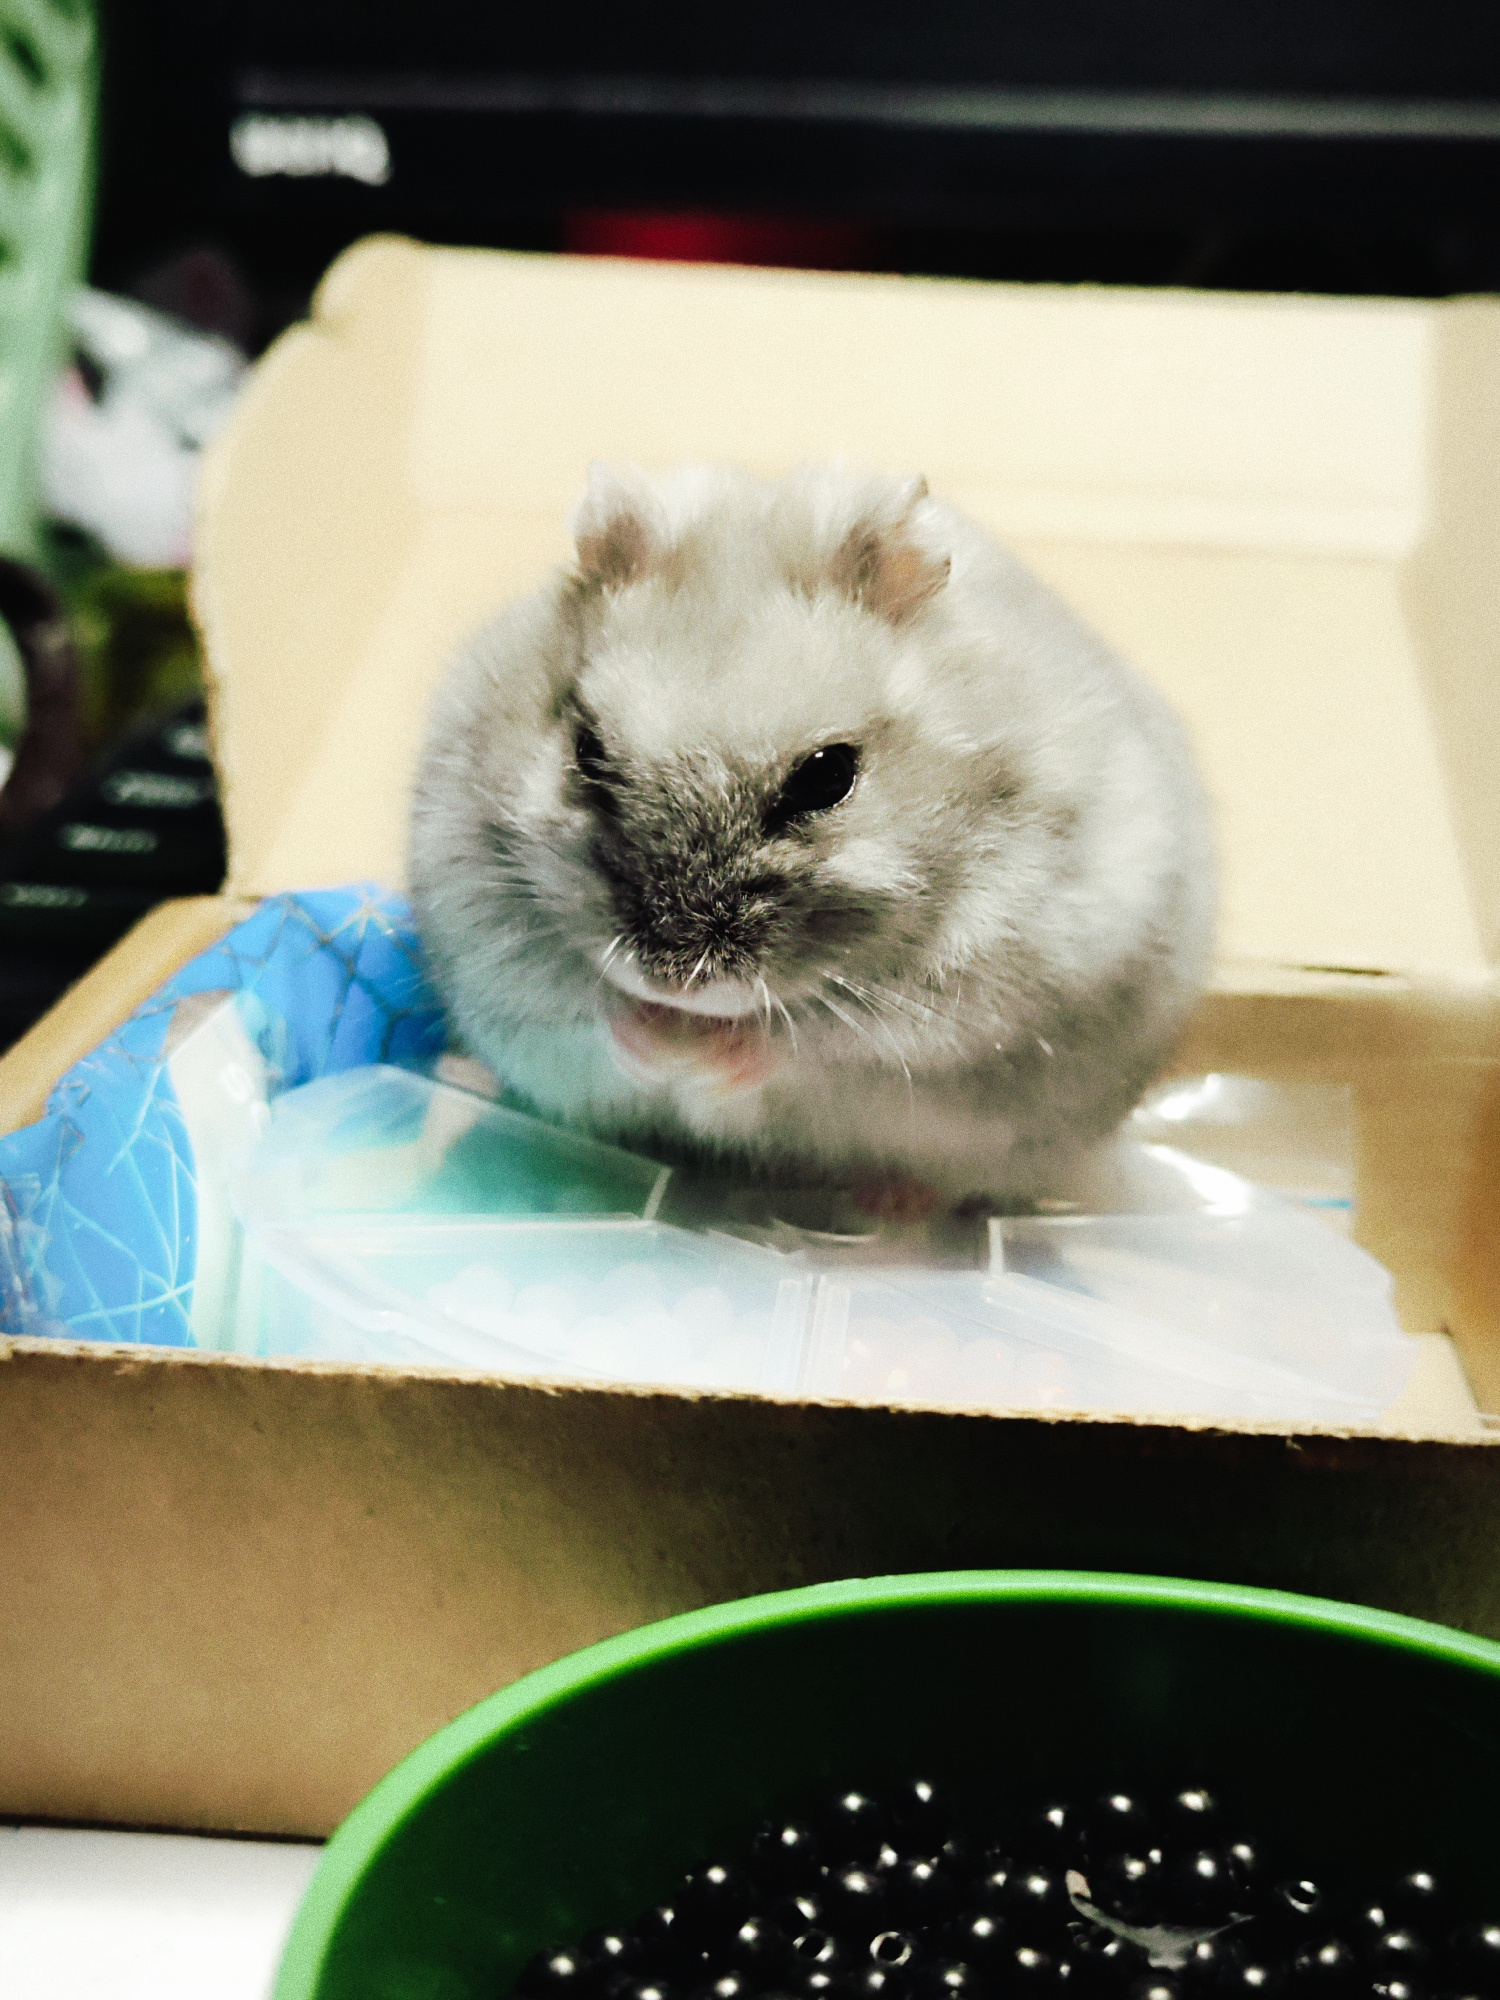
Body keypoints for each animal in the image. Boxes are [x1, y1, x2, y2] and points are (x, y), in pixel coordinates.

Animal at [409, 461, 1216, 1208]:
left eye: (829, 776)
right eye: (587, 751)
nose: (673, 986)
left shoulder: (970, 999)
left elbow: (809, 1049)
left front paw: (705, 1053)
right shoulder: (493, 939)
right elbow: (592, 1015)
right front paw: (661, 1044)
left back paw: (889, 1218)